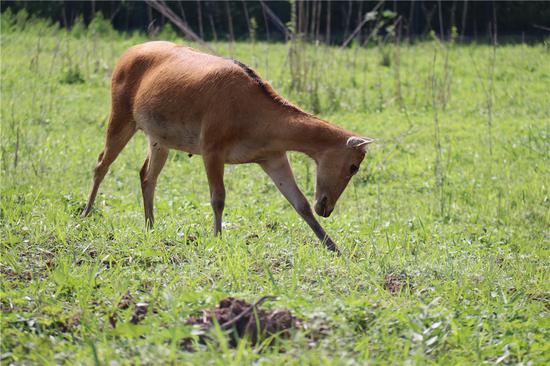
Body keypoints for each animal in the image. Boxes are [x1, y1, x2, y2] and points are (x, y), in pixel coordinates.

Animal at [81, 41, 376, 253]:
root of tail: (127, 54)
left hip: (158, 139)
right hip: (121, 116)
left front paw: (333, 247)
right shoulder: (211, 148)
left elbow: (299, 202)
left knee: (146, 175)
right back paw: (86, 214)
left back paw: (150, 225)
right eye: (354, 166)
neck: (256, 115)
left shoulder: (273, 157)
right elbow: (218, 198)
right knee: (101, 164)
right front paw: (217, 238)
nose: (326, 208)